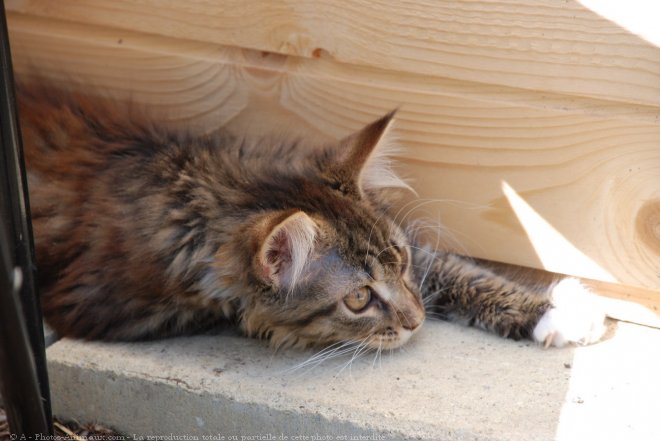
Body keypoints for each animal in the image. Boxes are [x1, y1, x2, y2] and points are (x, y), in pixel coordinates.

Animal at [18, 82, 604, 350]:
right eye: (358, 299)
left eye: (401, 264)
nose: (417, 322)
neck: (208, 189)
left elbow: (459, 269)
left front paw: (558, 307)